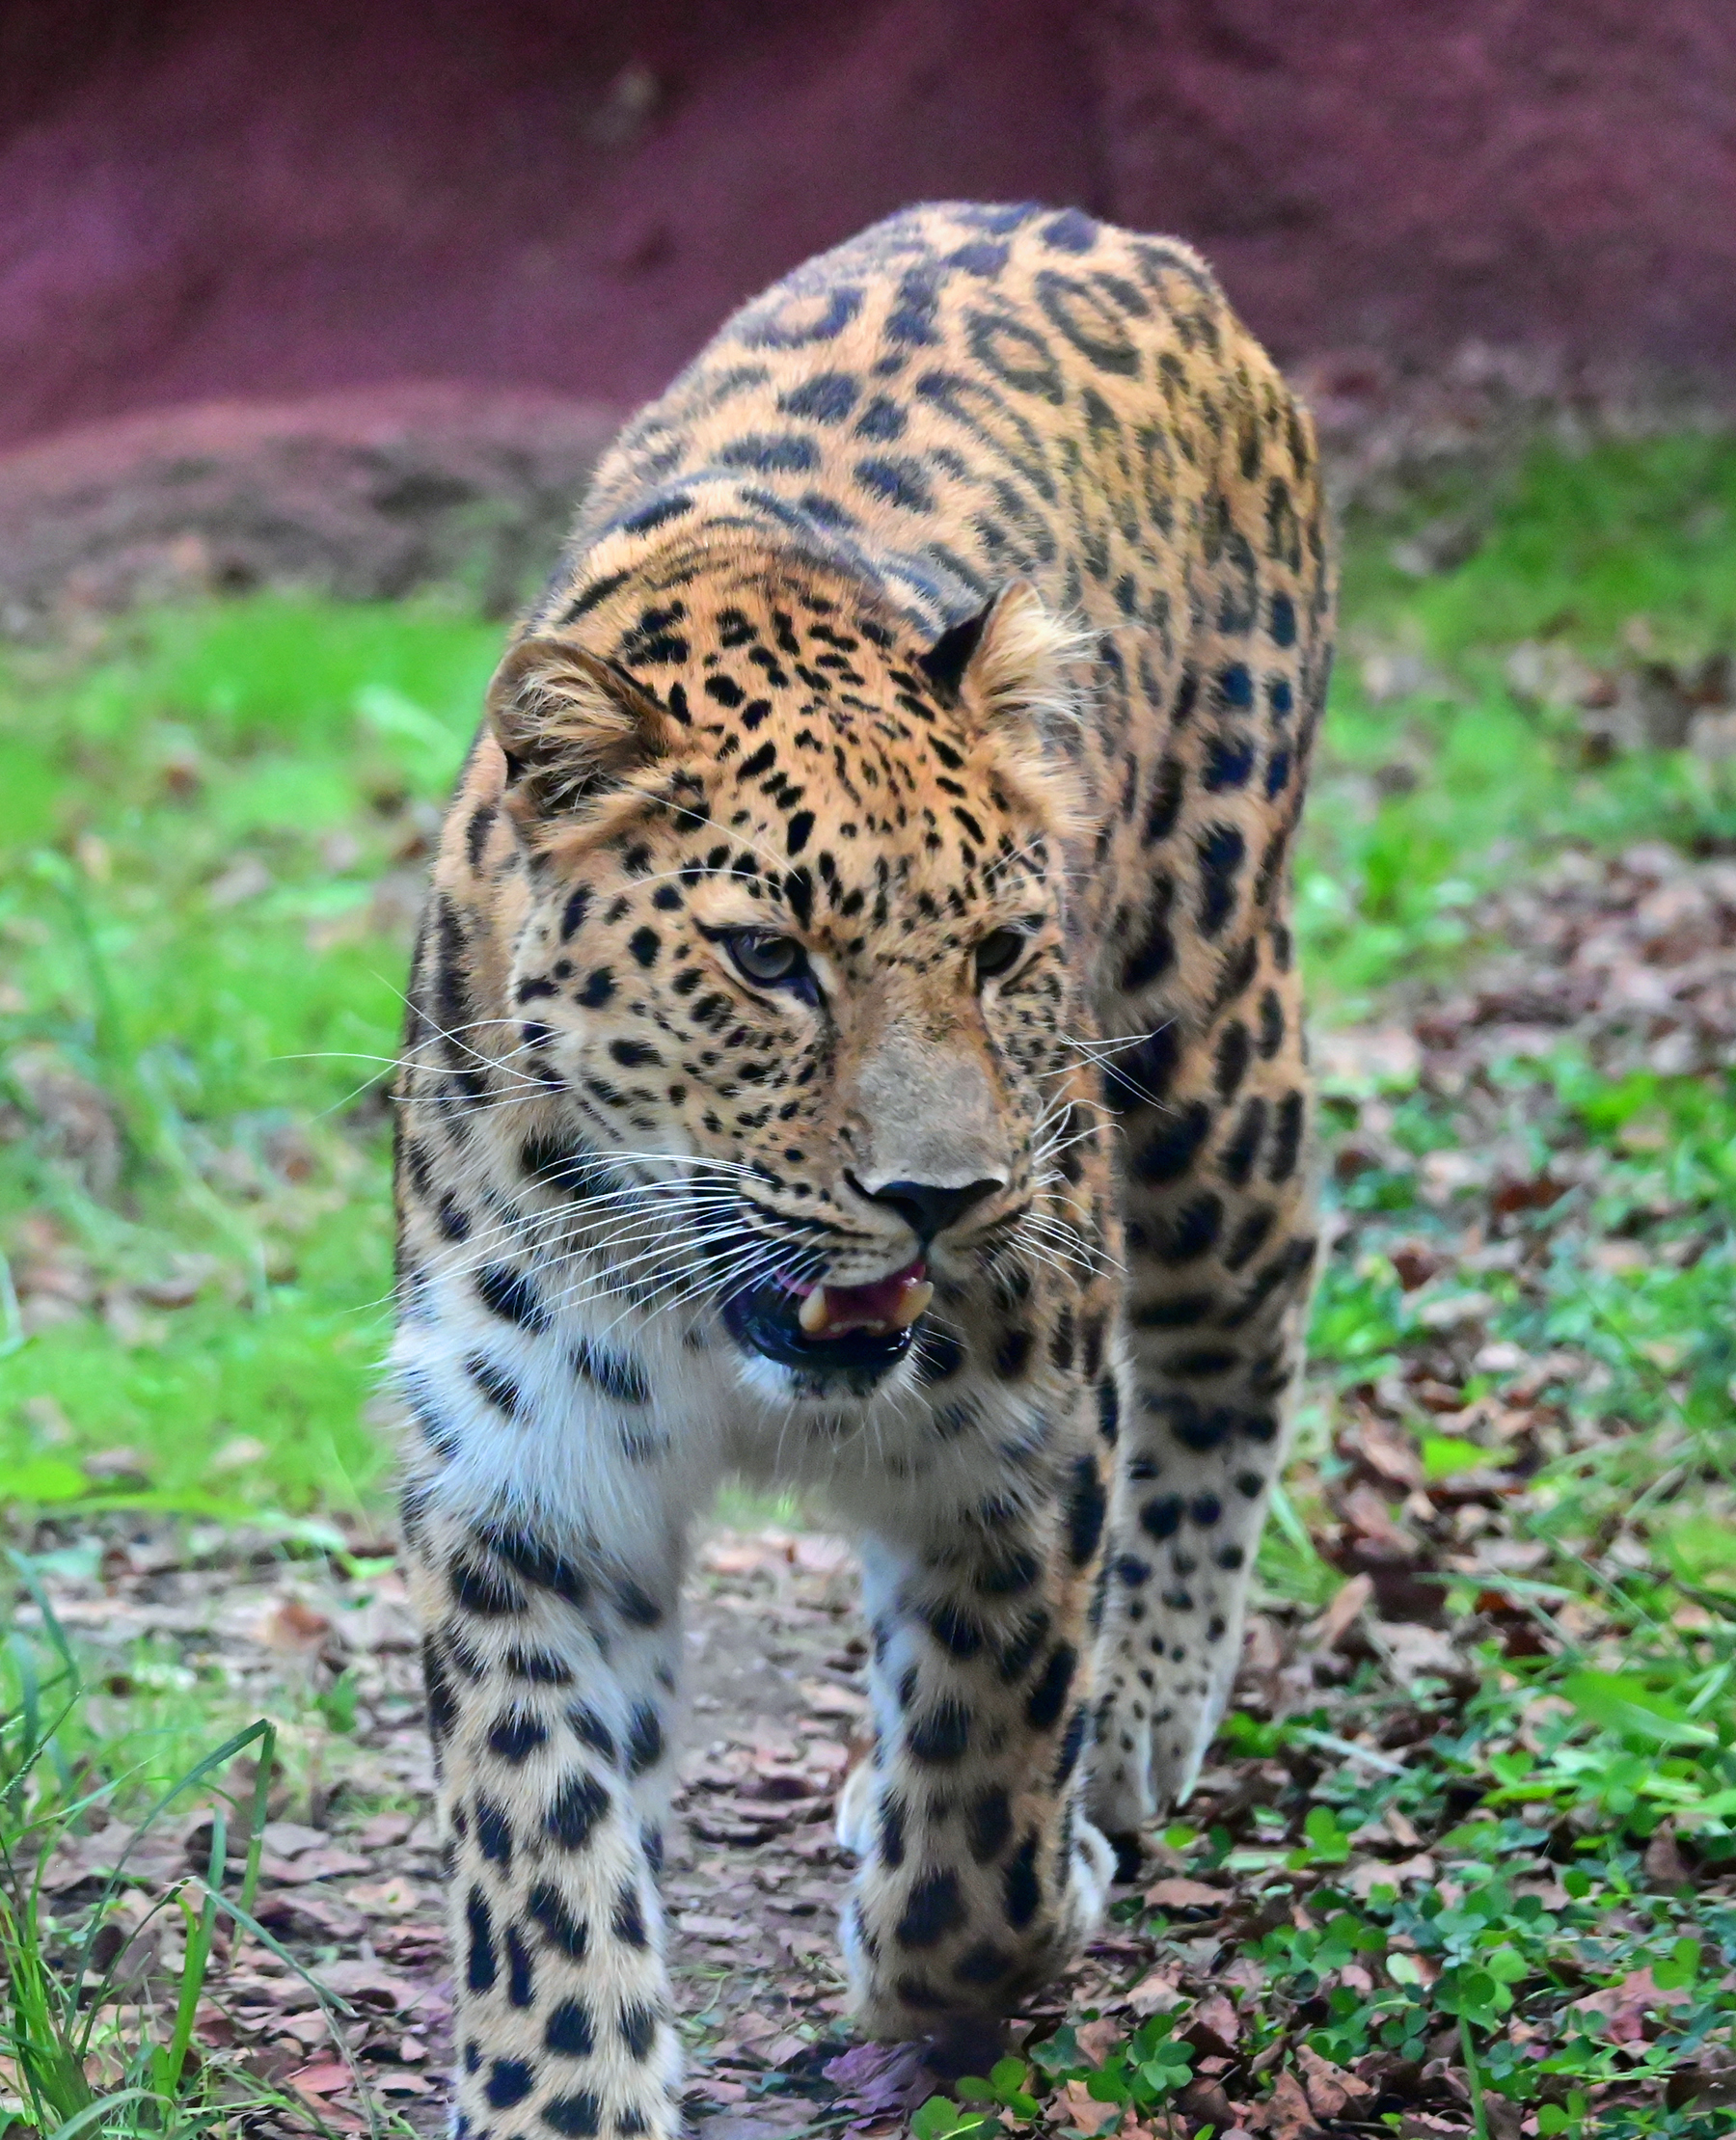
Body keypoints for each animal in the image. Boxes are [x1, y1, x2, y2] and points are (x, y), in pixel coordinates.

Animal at [392, 200, 1332, 2140]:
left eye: (996, 948)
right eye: (769, 958)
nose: (941, 1197)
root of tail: (1116, 228)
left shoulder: (1025, 1439)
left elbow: (983, 1797)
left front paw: (984, 1928)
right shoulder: (525, 1478)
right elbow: (541, 1830)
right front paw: (563, 2092)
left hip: (1207, 1016)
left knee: (1253, 1299)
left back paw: (1138, 1713)